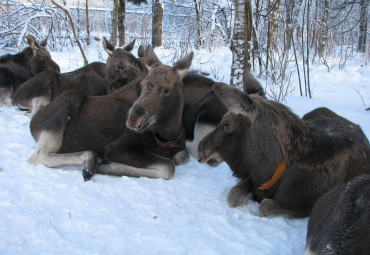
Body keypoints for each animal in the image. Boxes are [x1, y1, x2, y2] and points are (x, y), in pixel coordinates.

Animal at [28, 45, 194, 181]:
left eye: (166, 90)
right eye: (142, 85)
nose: (133, 119)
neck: (167, 135)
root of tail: (32, 122)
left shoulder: (180, 148)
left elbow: (181, 156)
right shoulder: (116, 148)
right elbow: (168, 167)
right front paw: (109, 167)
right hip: (69, 100)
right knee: (37, 156)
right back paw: (90, 161)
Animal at [198, 83, 370, 217]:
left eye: (227, 125)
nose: (201, 150)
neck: (269, 170)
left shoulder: (307, 205)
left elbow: (265, 206)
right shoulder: (252, 180)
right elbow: (233, 196)